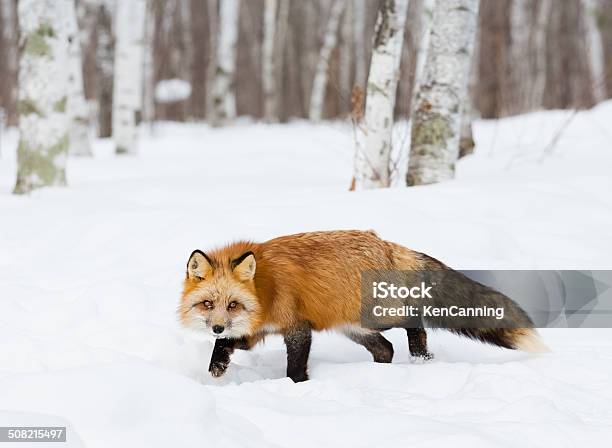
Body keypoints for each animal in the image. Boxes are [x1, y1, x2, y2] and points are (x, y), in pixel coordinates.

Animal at [179, 231, 548, 382]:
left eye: (233, 304)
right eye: (208, 304)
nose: (216, 325)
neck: (264, 290)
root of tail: (385, 242)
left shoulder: (297, 327)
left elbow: (295, 366)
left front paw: (297, 387)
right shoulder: (257, 331)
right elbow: (225, 345)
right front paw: (217, 366)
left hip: (379, 315)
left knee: (414, 320)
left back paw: (421, 355)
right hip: (354, 328)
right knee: (385, 349)